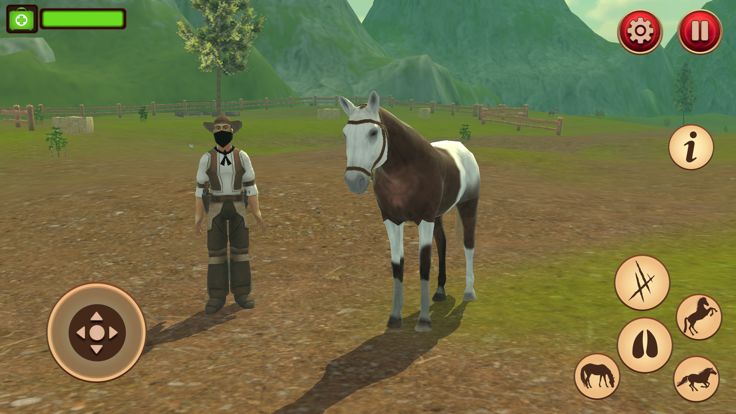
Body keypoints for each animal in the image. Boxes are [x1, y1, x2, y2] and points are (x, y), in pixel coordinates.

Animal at [338, 91, 480, 332]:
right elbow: (397, 265)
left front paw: (423, 321)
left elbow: (424, 264)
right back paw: (440, 292)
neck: (404, 174)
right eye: (346, 133)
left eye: (373, 132)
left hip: (468, 206)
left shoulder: (424, 219)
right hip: (437, 216)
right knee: (442, 243)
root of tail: (463, 148)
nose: (354, 181)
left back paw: (469, 292)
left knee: (468, 245)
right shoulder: (391, 220)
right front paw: (395, 317)